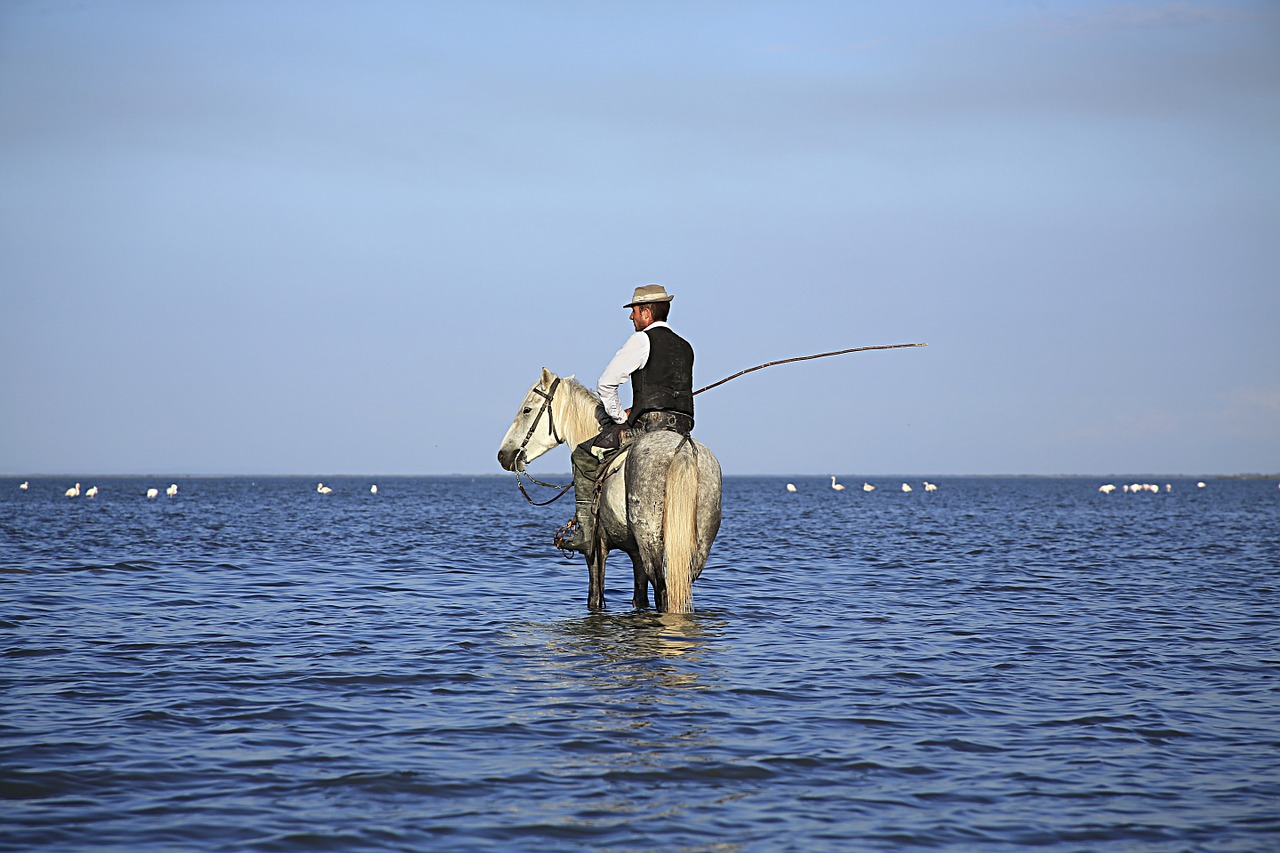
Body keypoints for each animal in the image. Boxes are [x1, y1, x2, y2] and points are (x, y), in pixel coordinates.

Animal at [496, 366, 727, 612]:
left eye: (527, 410)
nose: (504, 455)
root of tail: (682, 449)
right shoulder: (636, 555)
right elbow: (639, 599)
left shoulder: (596, 550)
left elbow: (595, 597)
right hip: (695, 550)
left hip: (651, 544)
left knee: (663, 593)